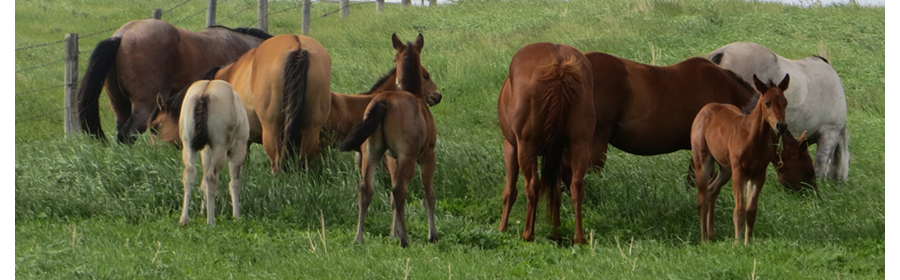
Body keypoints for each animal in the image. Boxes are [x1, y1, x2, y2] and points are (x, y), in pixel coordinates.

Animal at [340, 33, 442, 247]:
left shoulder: (391, 158)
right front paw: (432, 235)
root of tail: (384, 101)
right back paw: (405, 239)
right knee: (399, 190)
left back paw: (359, 238)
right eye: (426, 75)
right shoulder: (427, 155)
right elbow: (428, 195)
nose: (438, 96)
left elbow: (391, 200)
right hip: (408, 157)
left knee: (366, 190)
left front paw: (392, 233)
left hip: (371, 153)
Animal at [496, 42, 596, 245]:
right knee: (577, 185)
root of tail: (559, 64)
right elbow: (556, 193)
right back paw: (579, 237)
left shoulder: (511, 147)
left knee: (533, 185)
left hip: (526, 148)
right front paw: (556, 233)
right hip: (580, 144)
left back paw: (528, 234)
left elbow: (510, 191)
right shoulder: (557, 156)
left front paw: (502, 228)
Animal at [688, 73, 788, 244]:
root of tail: (705, 109)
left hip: (725, 169)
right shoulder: (739, 172)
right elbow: (739, 209)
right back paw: (704, 239)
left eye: (785, 103)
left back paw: (711, 234)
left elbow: (751, 210)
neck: (753, 138)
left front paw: (748, 243)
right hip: (703, 160)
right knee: (702, 198)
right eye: (767, 103)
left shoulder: (759, 174)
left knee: (711, 191)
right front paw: (737, 243)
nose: (781, 126)